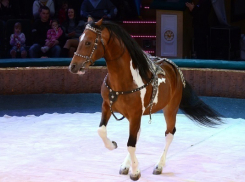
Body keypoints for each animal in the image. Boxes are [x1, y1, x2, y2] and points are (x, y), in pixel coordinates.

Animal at [68, 18, 222, 181]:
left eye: (88, 42)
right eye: (79, 39)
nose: (73, 66)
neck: (123, 81)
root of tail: (174, 68)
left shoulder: (135, 113)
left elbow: (131, 143)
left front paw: (135, 171)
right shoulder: (107, 106)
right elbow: (102, 131)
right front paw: (113, 145)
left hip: (170, 109)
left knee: (169, 133)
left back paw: (159, 166)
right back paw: (126, 165)